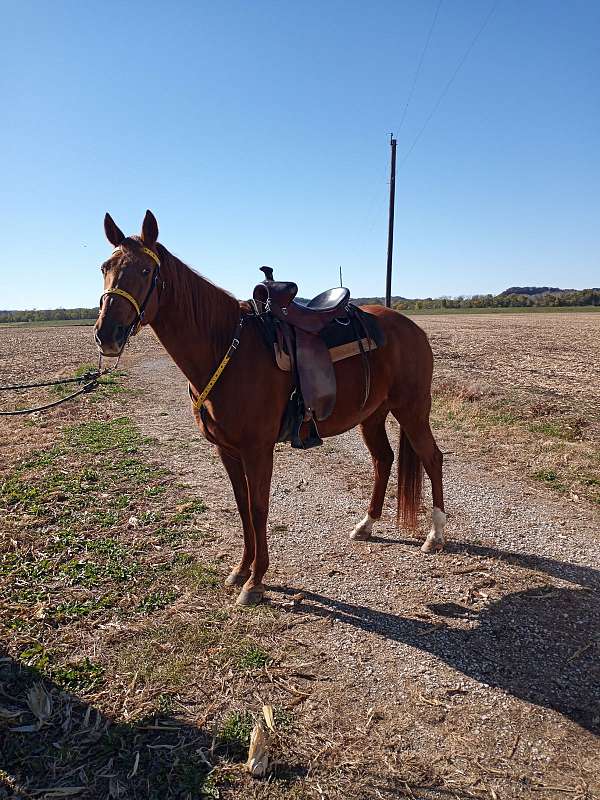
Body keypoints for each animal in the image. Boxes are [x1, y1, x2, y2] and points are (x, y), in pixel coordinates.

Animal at [94, 209, 446, 604]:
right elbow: (242, 506)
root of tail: (412, 328)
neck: (226, 347)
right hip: (372, 414)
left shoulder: (257, 449)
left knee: (432, 458)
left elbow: (259, 507)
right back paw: (366, 525)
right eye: (105, 266)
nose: (107, 333)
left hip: (412, 409)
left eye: (144, 271)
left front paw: (256, 581)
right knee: (383, 460)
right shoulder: (227, 450)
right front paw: (240, 570)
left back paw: (435, 535)